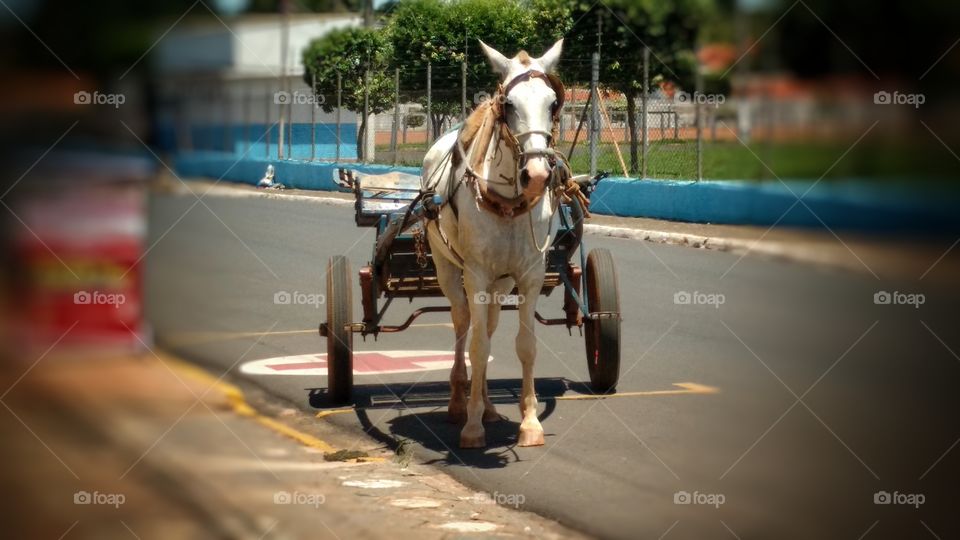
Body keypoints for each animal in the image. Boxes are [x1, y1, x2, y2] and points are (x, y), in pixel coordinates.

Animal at [420, 40, 564, 450]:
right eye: (509, 104)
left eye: (552, 102)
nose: (537, 174)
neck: (510, 202)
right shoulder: (476, 274)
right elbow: (477, 348)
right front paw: (471, 427)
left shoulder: (530, 275)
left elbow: (524, 345)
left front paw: (529, 422)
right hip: (449, 270)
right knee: (463, 324)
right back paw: (459, 402)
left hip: (501, 283)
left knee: (487, 328)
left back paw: (486, 405)